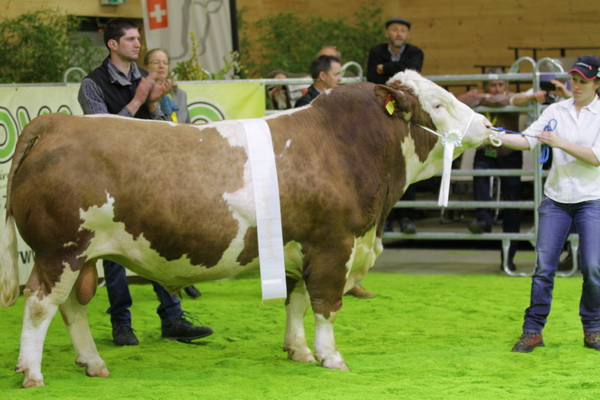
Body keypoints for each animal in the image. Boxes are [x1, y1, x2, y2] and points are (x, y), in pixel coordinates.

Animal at [0, 70, 490, 386]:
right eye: (439, 104)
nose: (487, 124)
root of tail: (58, 121)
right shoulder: (334, 245)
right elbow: (326, 305)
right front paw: (331, 357)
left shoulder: (300, 246)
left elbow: (296, 302)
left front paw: (298, 351)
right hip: (60, 251)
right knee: (40, 304)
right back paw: (32, 372)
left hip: (80, 257)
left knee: (72, 308)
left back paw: (93, 362)